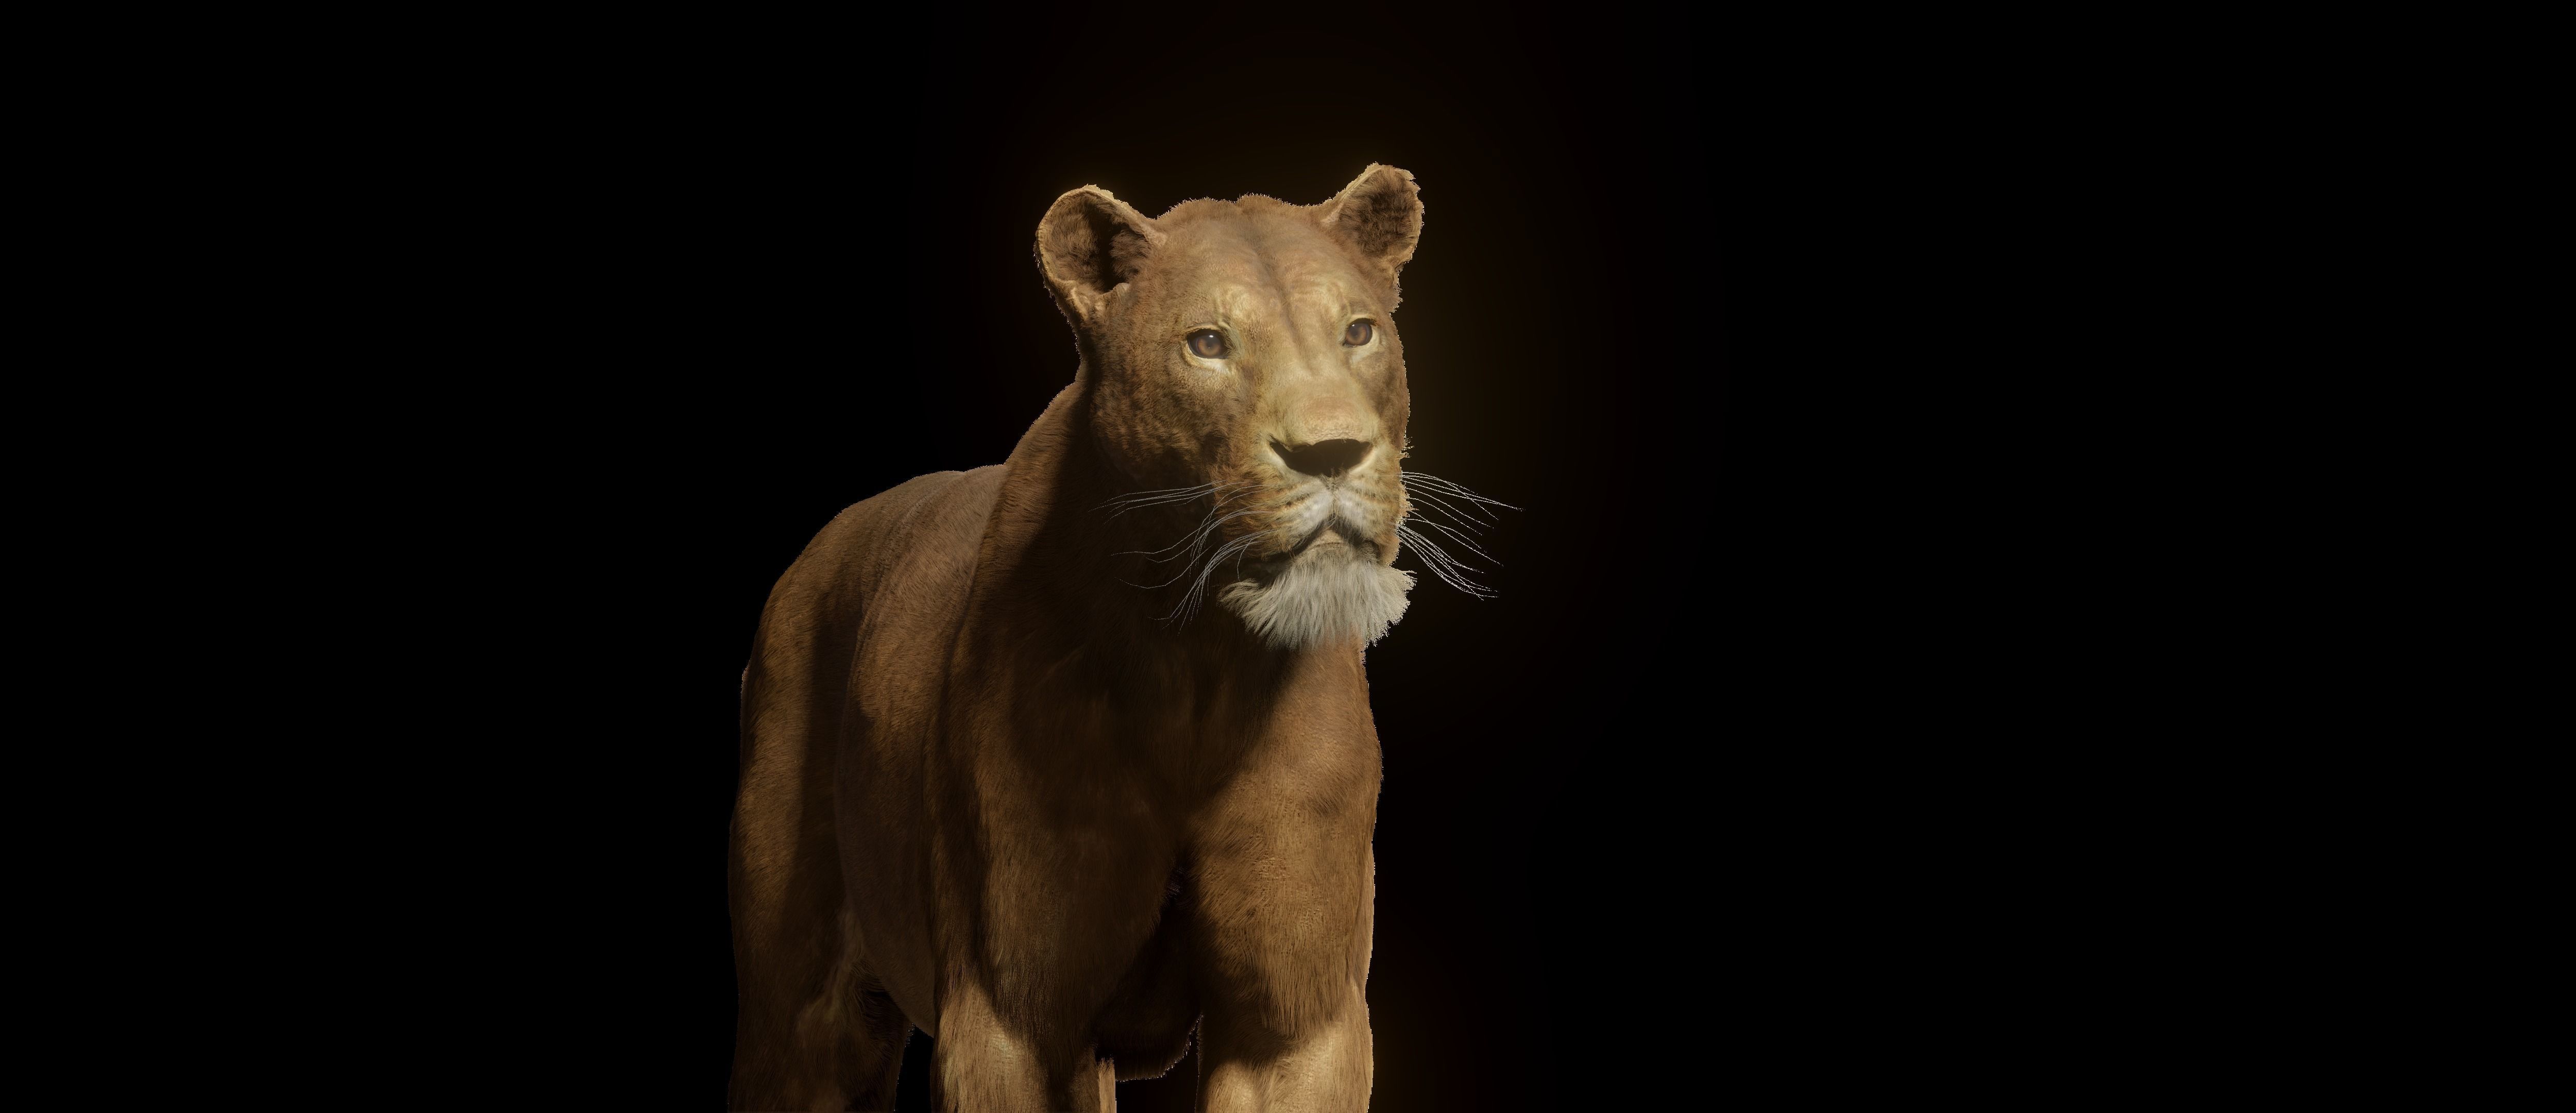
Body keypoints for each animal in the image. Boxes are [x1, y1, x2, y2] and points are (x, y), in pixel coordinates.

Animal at [729, 165, 1455, 1112]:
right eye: (1208, 343)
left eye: (1359, 332)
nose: (1331, 451)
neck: (1201, 664)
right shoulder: (1010, 1023)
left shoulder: (1296, 1031)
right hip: (801, 1016)